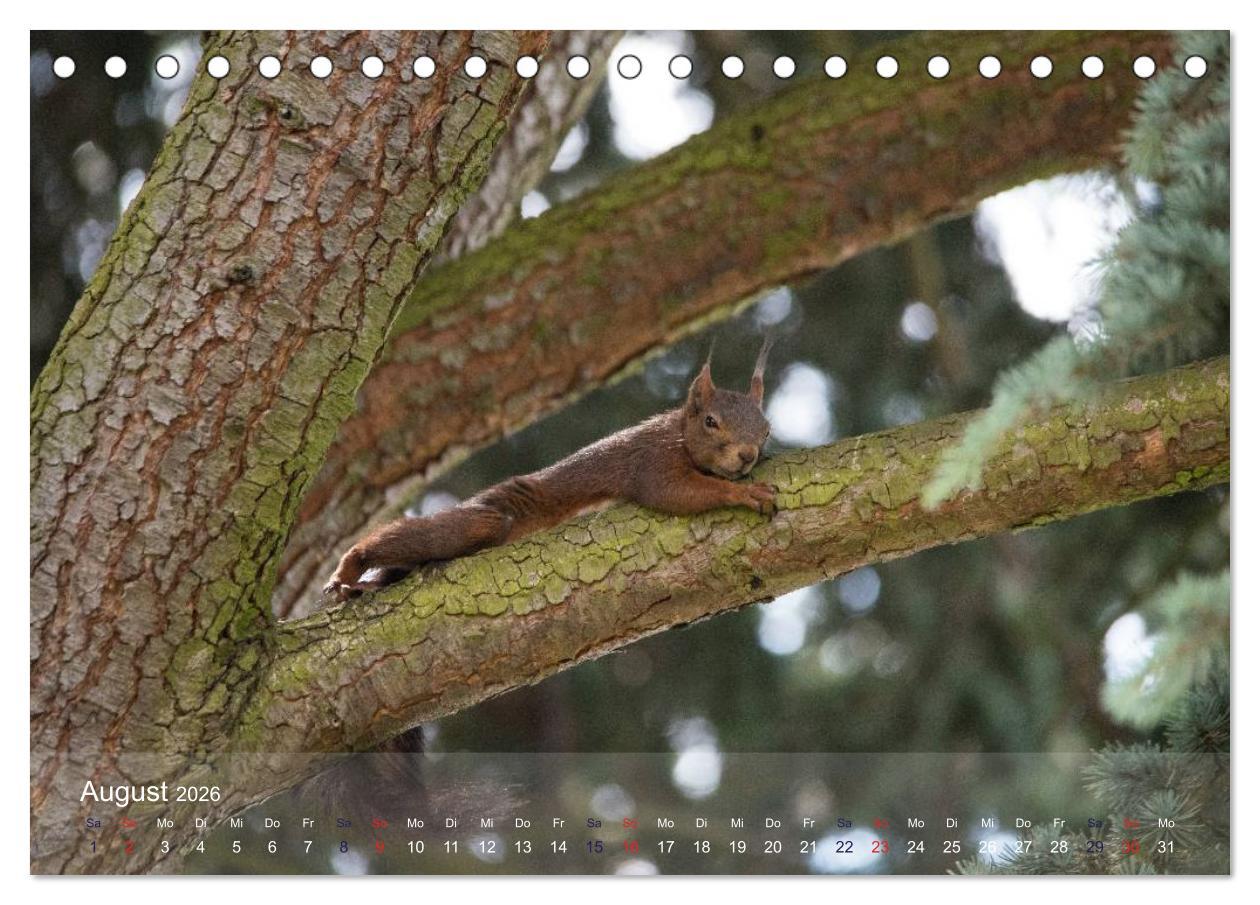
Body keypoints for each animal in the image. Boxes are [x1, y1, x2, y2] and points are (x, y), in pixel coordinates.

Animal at [324, 340, 777, 602]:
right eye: (711, 422)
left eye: (767, 429)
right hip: (485, 521)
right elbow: (674, 493)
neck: (678, 433)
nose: (747, 456)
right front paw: (743, 494)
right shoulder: (651, 462)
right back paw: (351, 566)